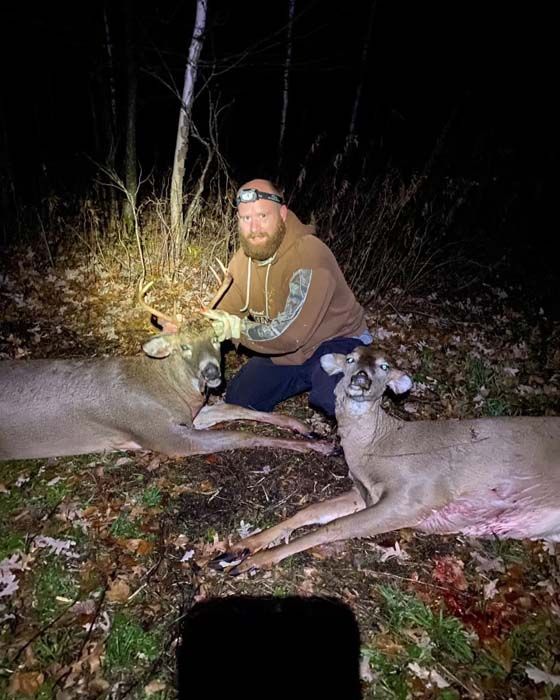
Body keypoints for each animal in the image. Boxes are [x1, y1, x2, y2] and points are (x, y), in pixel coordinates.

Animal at [0, 280, 332, 461]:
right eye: (183, 346)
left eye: (216, 340)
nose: (211, 373)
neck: (164, 386)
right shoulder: (161, 433)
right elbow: (242, 435)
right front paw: (317, 446)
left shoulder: (190, 415)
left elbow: (237, 409)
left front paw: (302, 426)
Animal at [211, 344, 560, 574]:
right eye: (350, 359)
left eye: (383, 367)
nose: (361, 378)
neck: (380, 445)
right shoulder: (365, 491)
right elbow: (309, 511)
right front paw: (240, 548)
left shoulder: (413, 497)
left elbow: (333, 527)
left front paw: (256, 562)